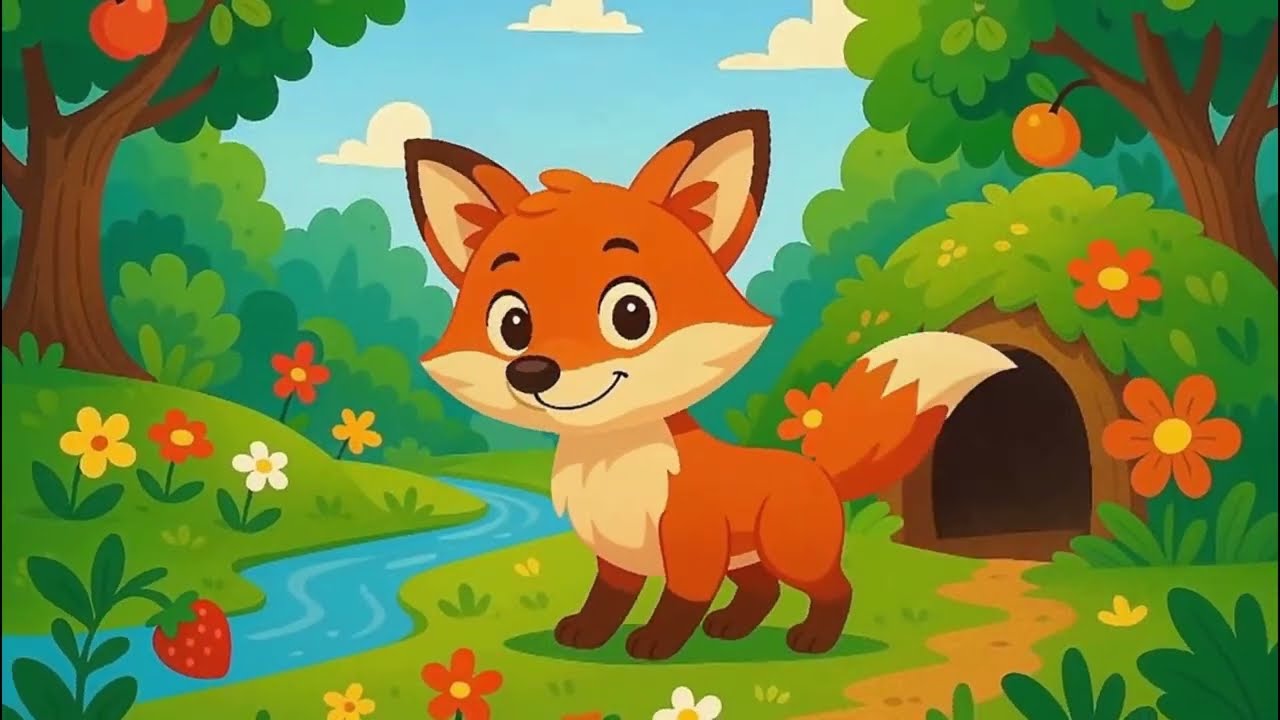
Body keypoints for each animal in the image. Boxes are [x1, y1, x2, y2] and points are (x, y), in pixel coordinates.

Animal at [404, 110, 1016, 661]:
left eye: (630, 313)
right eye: (511, 323)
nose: (531, 371)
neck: (613, 458)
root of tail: (816, 469)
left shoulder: (691, 544)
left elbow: (680, 601)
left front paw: (654, 644)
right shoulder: (618, 557)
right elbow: (607, 600)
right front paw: (586, 634)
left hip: (791, 551)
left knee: (835, 589)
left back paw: (813, 639)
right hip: (750, 559)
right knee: (762, 590)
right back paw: (733, 629)